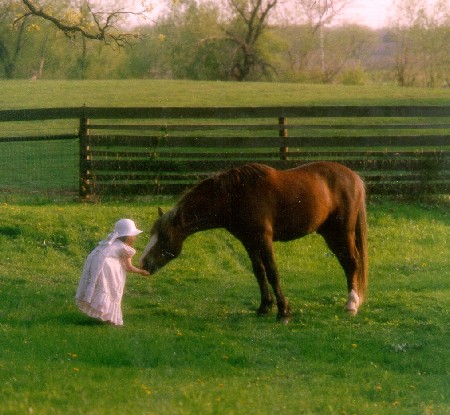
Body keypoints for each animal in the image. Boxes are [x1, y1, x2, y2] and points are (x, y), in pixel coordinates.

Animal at [142, 162, 370, 322]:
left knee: (351, 263)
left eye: (164, 237)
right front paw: (264, 307)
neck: (235, 195)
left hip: (340, 233)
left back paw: (351, 304)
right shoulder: (249, 242)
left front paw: (283, 312)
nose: (144, 263)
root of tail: (354, 177)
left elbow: (272, 273)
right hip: (330, 233)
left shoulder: (263, 239)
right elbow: (259, 272)